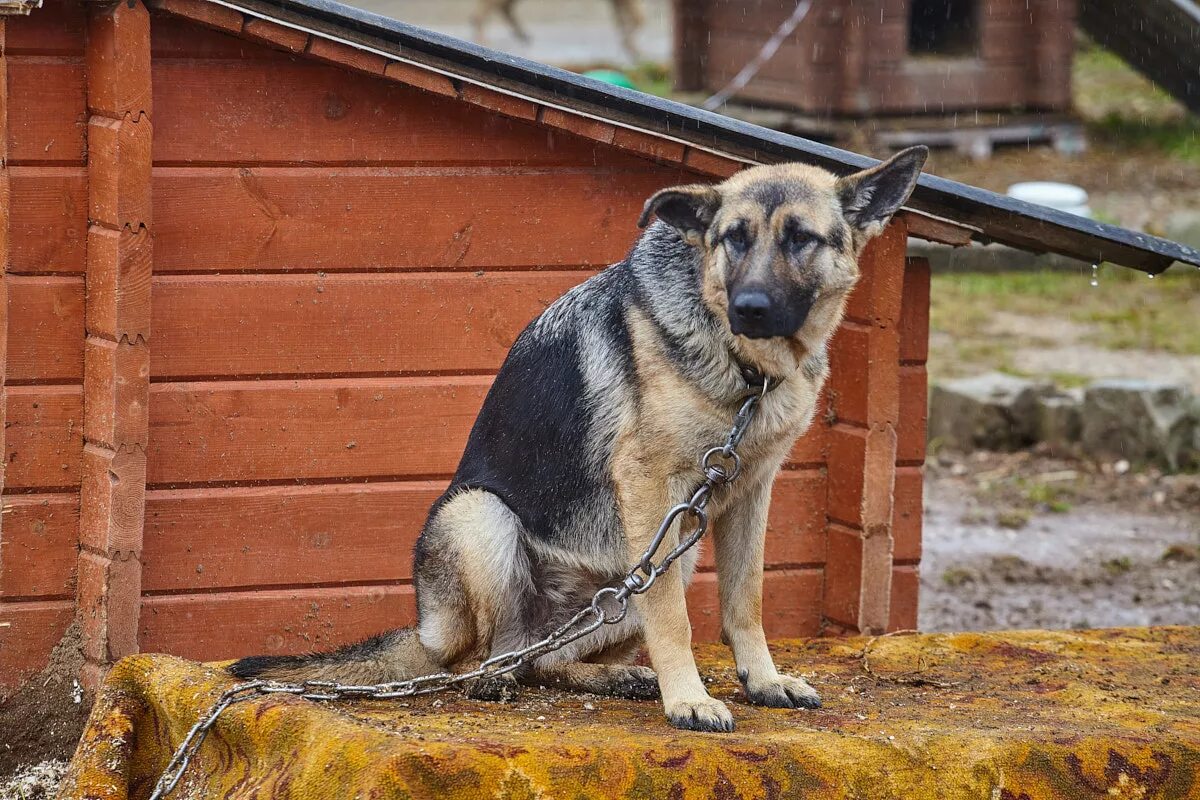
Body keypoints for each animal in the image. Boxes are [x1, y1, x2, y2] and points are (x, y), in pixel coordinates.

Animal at [234, 145, 926, 734]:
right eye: (734, 238)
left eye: (801, 238)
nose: (749, 307)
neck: (746, 368)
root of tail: (428, 629)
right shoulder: (651, 485)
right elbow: (674, 618)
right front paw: (691, 699)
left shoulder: (750, 492)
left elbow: (745, 599)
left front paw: (763, 680)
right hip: (483, 517)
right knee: (484, 659)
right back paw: (495, 679)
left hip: (653, 564)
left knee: (544, 660)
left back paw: (617, 675)